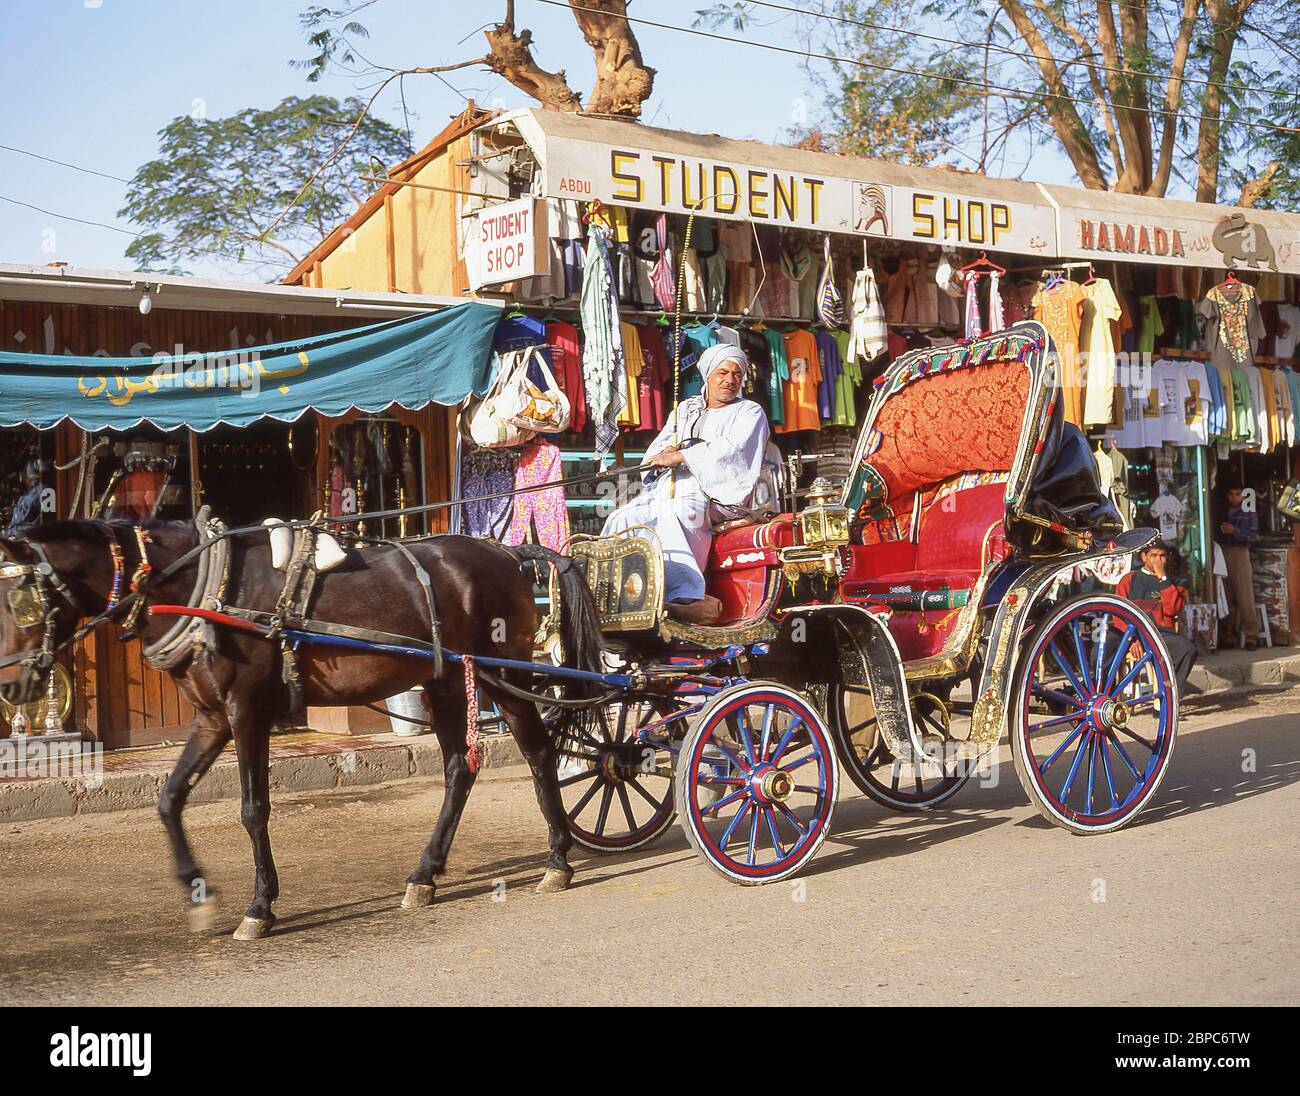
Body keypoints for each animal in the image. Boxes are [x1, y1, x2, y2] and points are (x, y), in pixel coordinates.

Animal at [0, 522, 605, 941]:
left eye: (22, 602)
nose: (11, 687)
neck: (203, 588)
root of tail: (506, 552)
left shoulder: (246, 712)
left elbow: (253, 809)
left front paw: (260, 907)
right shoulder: (211, 717)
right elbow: (169, 799)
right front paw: (199, 894)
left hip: (506, 673)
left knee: (538, 752)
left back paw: (558, 860)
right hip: (447, 680)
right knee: (460, 768)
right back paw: (425, 875)